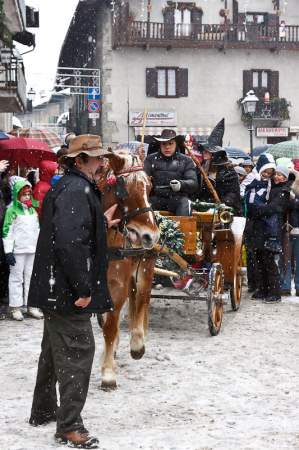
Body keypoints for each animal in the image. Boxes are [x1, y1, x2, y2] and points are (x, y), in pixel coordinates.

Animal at [98, 151, 159, 390]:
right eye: (124, 189)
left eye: (149, 186)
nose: (151, 235)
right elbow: (105, 323)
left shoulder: (117, 285)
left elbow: (110, 326)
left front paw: (107, 373)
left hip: (145, 268)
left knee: (142, 298)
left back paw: (137, 342)